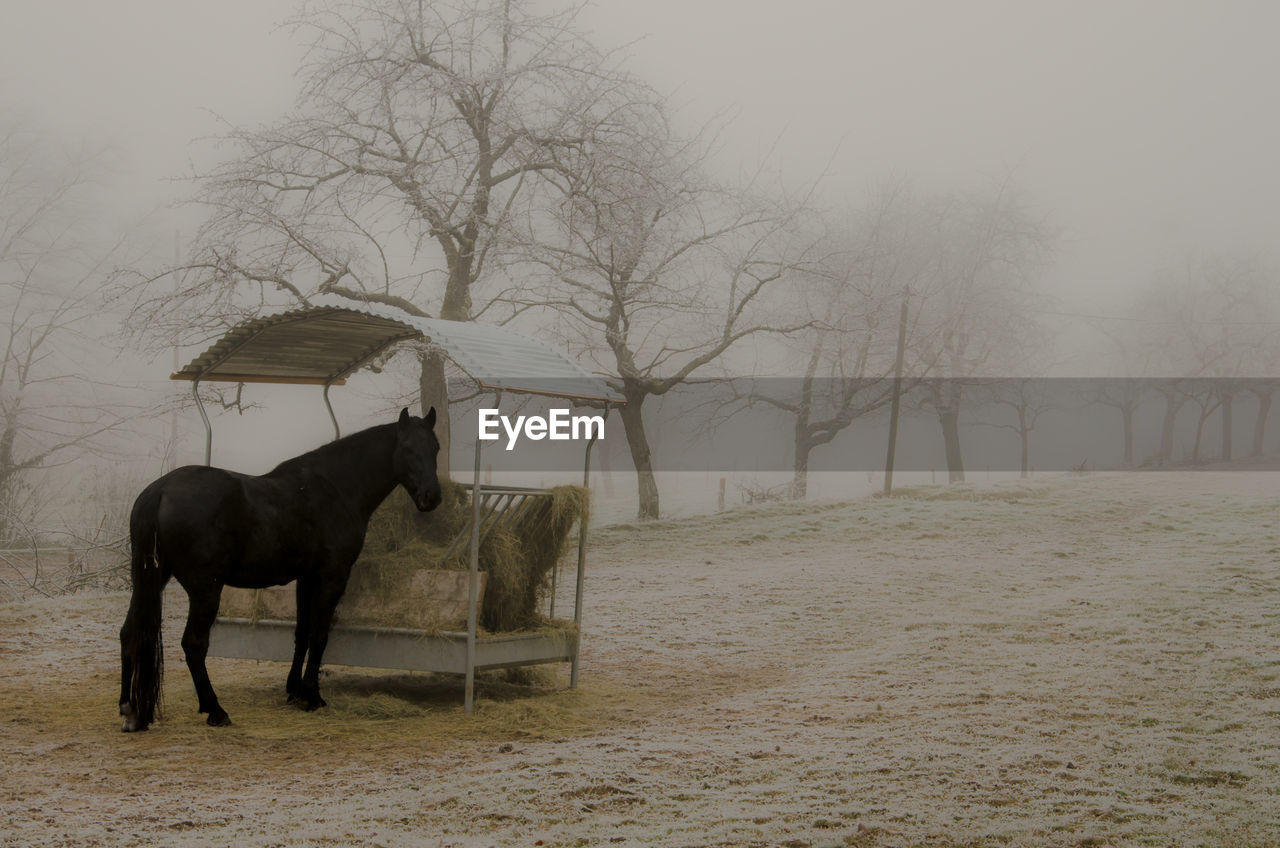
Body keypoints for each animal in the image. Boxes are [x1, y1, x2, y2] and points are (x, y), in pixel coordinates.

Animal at [119, 409, 445, 732]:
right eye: (408, 449)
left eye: (435, 448)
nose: (432, 497)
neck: (336, 488)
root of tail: (160, 491)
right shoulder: (332, 577)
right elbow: (319, 634)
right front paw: (312, 696)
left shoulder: (306, 578)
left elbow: (302, 632)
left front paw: (294, 691)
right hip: (205, 589)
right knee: (193, 644)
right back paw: (216, 710)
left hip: (149, 579)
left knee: (129, 632)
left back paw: (129, 709)